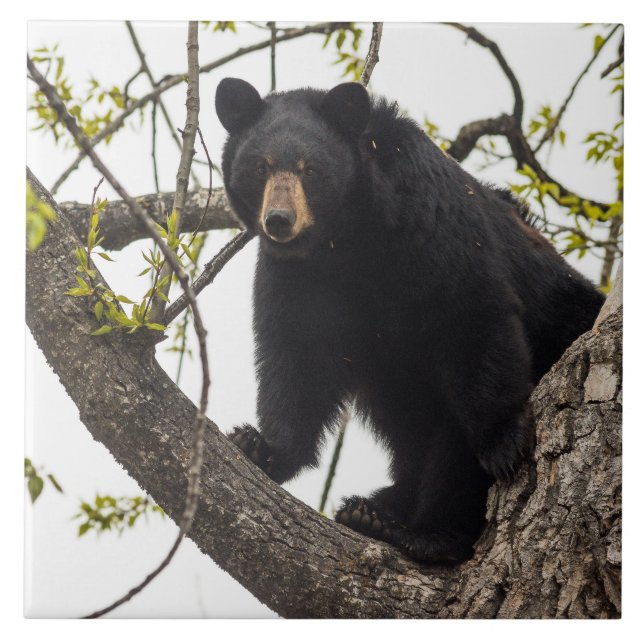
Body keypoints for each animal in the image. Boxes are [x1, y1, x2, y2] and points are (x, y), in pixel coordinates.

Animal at [215, 77, 605, 564]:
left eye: (310, 169)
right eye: (260, 167)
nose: (279, 221)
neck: (348, 241)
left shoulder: (433, 227)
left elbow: (472, 318)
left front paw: (503, 443)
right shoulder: (298, 277)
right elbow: (298, 355)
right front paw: (261, 446)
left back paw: (421, 532)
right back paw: (374, 510)